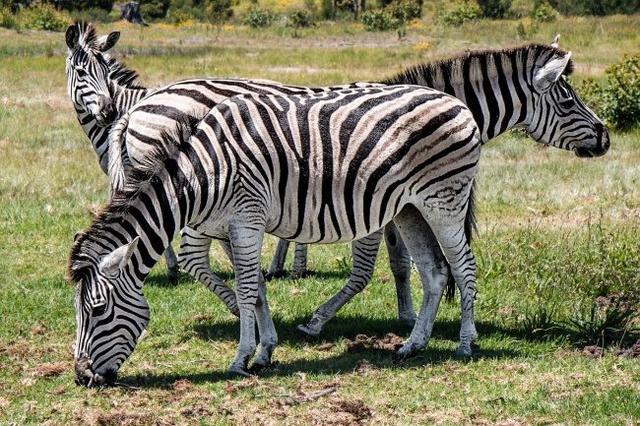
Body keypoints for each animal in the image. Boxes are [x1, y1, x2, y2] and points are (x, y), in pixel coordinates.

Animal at [67, 83, 482, 382]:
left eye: (98, 310)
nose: (81, 377)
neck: (203, 176)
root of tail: (456, 102)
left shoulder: (246, 222)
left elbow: (247, 290)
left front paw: (240, 359)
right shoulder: (229, 227)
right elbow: (257, 289)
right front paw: (265, 350)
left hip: (445, 201)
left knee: (464, 268)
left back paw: (465, 344)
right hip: (410, 208)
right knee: (434, 273)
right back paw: (414, 344)